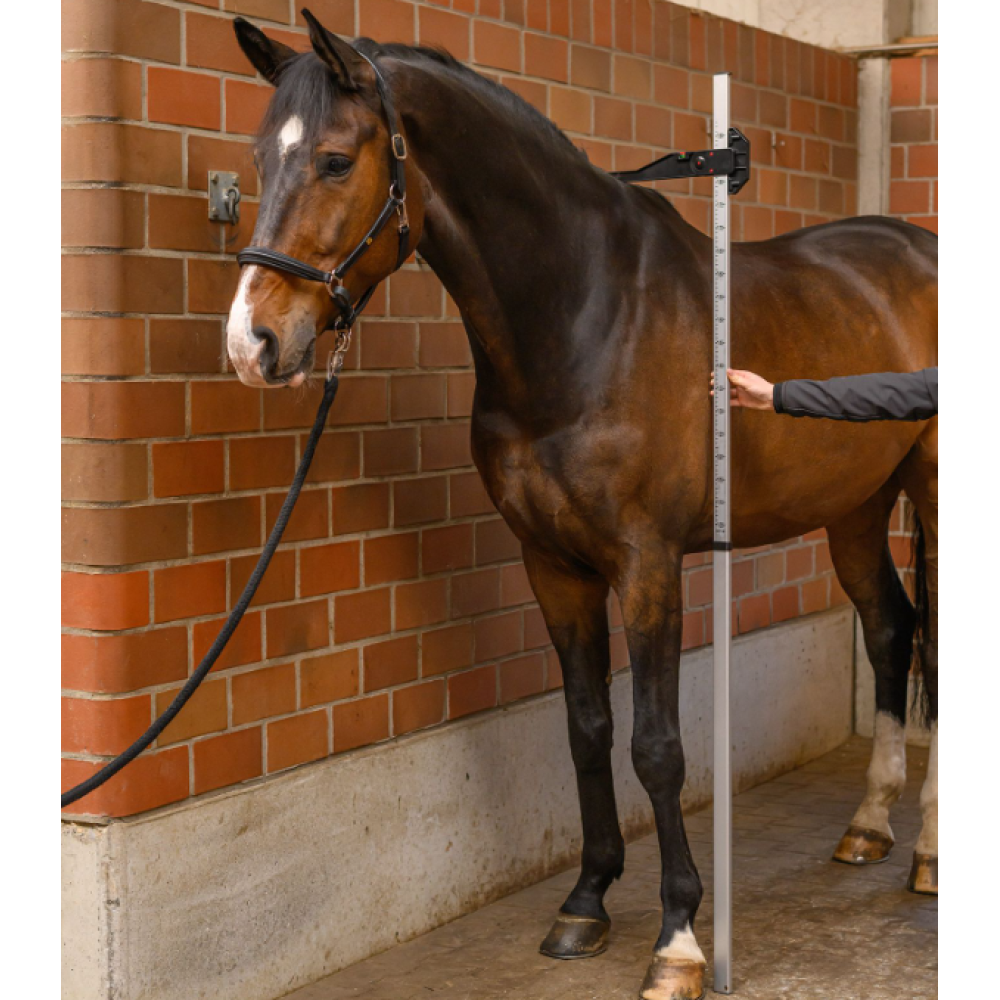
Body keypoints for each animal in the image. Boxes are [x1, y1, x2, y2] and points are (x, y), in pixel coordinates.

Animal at [227, 13, 938, 999]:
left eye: (334, 160)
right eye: (260, 160)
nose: (252, 343)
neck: (581, 317)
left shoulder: (648, 565)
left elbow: (657, 745)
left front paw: (679, 939)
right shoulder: (553, 565)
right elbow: (587, 728)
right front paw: (588, 901)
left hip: (932, 489)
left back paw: (931, 855)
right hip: (858, 505)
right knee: (890, 629)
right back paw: (869, 826)